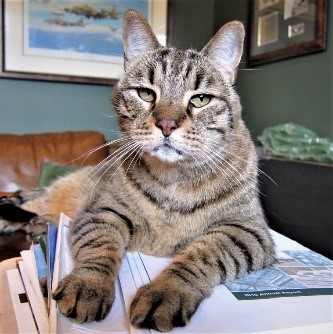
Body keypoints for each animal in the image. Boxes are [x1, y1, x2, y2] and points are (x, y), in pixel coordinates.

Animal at [1, 9, 274, 332]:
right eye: (146, 94)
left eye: (200, 99)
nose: (167, 124)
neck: (174, 179)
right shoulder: (101, 212)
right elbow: (100, 249)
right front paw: (88, 284)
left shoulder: (247, 230)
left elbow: (201, 255)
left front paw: (166, 291)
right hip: (57, 196)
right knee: (30, 201)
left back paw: (34, 225)